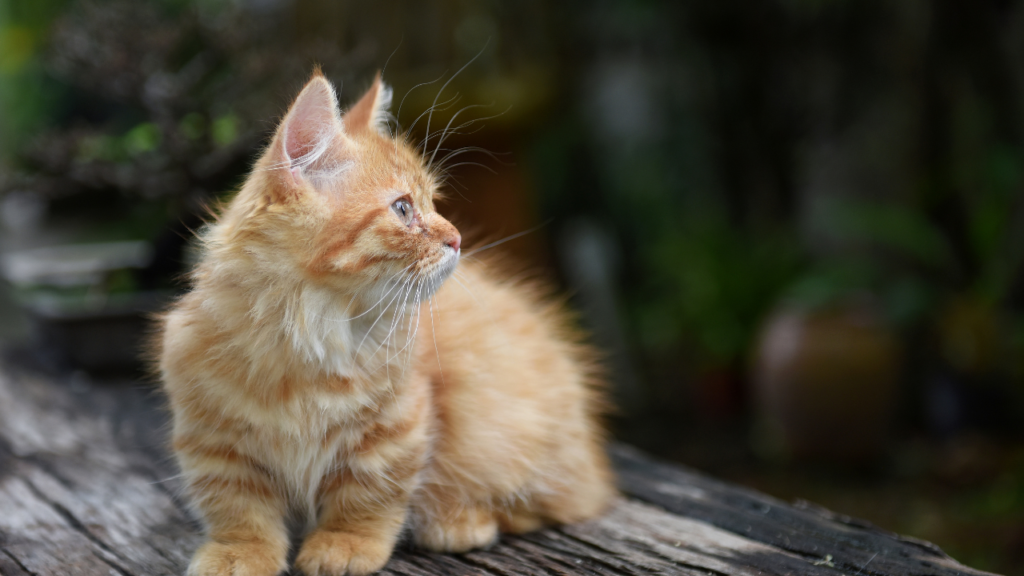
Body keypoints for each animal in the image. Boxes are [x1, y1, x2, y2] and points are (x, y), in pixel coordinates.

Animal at [155, 72, 610, 573]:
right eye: (403, 209)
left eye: (433, 202)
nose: (457, 238)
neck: (310, 335)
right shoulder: (212, 438)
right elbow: (237, 507)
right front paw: (239, 552)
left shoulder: (397, 425)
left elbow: (369, 494)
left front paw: (345, 543)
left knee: (552, 503)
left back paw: (457, 520)